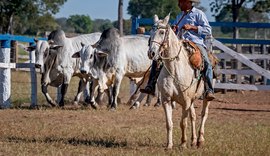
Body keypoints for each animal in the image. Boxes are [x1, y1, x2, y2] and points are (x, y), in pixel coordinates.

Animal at [149, 14, 212, 149]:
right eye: (150, 32)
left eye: (162, 32)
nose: (151, 53)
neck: (174, 70)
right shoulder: (166, 100)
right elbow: (169, 123)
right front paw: (169, 145)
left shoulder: (186, 101)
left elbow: (183, 123)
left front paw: (183, 144)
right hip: (192, 98)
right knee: (193, 116)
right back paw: (193, 141)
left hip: (205, 97)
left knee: (204, 114)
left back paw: (200, 140)